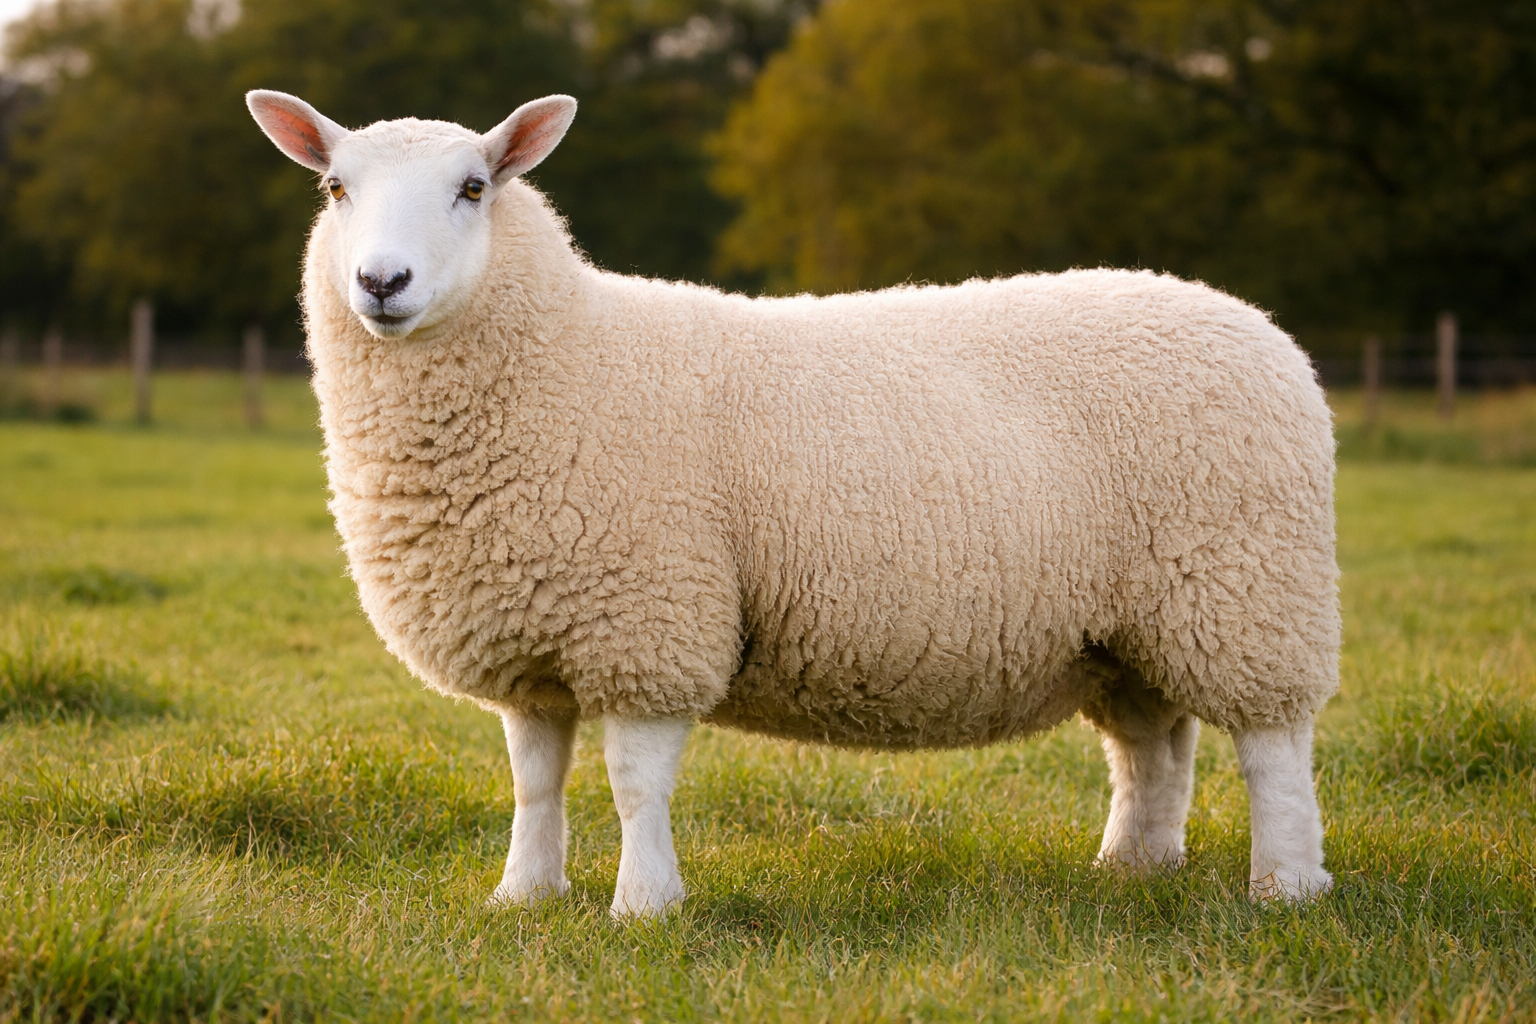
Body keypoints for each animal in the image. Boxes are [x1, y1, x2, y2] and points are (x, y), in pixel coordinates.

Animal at [247, 89, 1340, 918]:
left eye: (473, 188)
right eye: (336, 188)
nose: (381, 281)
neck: (571, 353)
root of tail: (1261, 328)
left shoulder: (652, 618)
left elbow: (635, 780)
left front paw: (645, 906)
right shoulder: (534, 632)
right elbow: (535, 779)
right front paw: (524, 896)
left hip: (1248, 589)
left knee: (1273, 749)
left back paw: (1286, 886)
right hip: (1130, 625)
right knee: (1152, 745)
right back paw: (1134, 867)